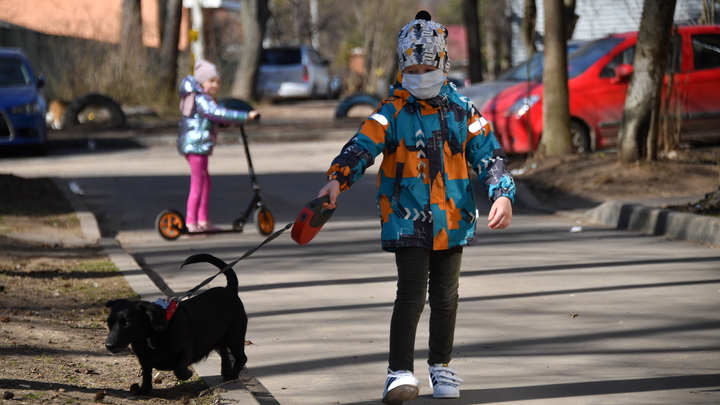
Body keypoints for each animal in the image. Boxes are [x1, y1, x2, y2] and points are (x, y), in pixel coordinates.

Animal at [101, 254, 248, 392]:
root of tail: (230, 289)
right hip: (220, 336)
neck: (151, 337)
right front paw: (144, 390)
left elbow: (178, 369)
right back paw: (226, 371)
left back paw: (233, 375)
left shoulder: (185, 352)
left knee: (242, 358)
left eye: (127, 323)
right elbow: (146, 374)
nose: (109, 345)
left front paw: (187, 374)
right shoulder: (143, 358)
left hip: (235, 338)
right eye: (109, 323)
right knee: (223, 350)